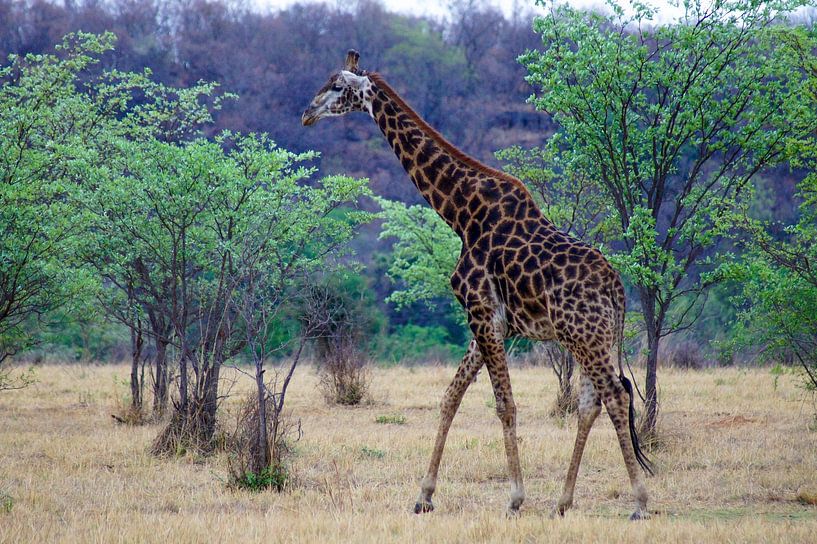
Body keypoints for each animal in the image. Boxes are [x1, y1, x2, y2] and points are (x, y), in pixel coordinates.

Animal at [302, 50, 653, 519]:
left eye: (338, 87)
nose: (307, 113)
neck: (462, 214)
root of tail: (618, 293)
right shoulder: (489, 320)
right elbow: (450, 396)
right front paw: (424, 495)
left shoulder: (482, 312)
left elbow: (504, 404)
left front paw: (515, 498)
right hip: (590, 337)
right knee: (590, 402)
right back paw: (562, 502)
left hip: (585, 335)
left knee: (614, 395)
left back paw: (639, 502)